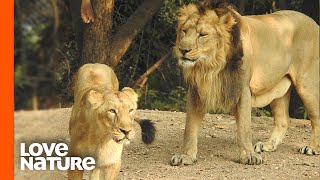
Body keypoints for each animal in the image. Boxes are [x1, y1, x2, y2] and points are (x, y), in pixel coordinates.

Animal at [170, 0, 318, 166]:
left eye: (202, 34)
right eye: (184, 31)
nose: (182, 49)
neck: (211, 66)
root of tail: (313, 22)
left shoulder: (242, 89)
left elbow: (244, 126)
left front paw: (248, 155)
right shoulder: (196, 90)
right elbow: (189, 127)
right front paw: (186, 156)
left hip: (307, 84)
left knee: (315, 116)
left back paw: (312, 147)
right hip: (278, 87)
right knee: (283, 119)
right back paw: (268, 145)